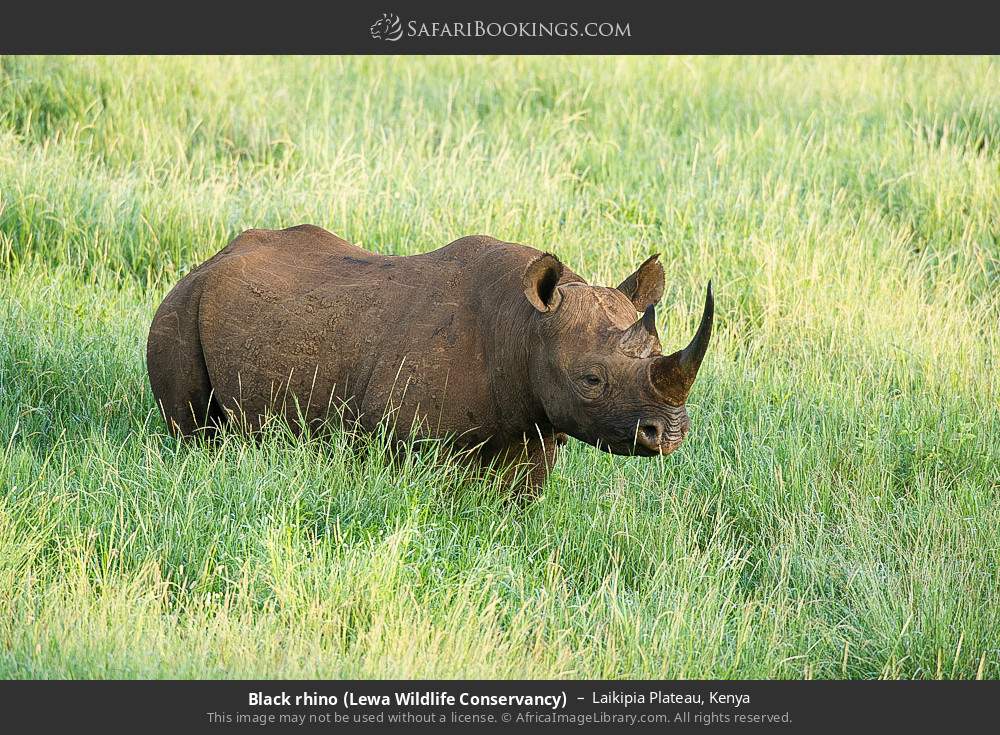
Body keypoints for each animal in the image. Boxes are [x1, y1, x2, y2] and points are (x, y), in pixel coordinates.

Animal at [147, 225, 713, 495]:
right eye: (591, 379)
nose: (671, 433)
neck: (526, 329)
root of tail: (210, 259)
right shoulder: (403, 438)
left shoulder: (533, 425)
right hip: (179, 307)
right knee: (193, 429)